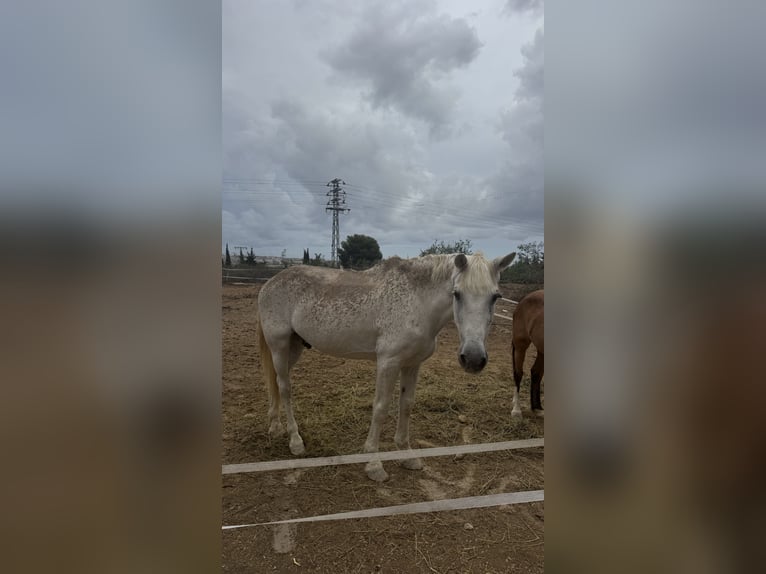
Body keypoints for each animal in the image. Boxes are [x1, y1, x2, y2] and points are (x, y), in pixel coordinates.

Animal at [256, 251, 516, 481]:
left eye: (496, 296)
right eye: (457, 293)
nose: (473, 359)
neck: (417, 302)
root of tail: (270, 283)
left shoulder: (412, 364)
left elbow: (406, 405)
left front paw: (406, 455)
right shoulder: (388, 363)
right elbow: (381, 409)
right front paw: (373, 464)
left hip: (294, 348)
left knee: (276, 384)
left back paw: (274, 426)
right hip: (279, 345)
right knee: (285, 388)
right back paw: (295, 441)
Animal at [511, 289, 544, 419]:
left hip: (541, 350)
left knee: (536, 373)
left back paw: (537, 408)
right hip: (521, 346)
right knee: (518, 373)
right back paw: (516, 410)